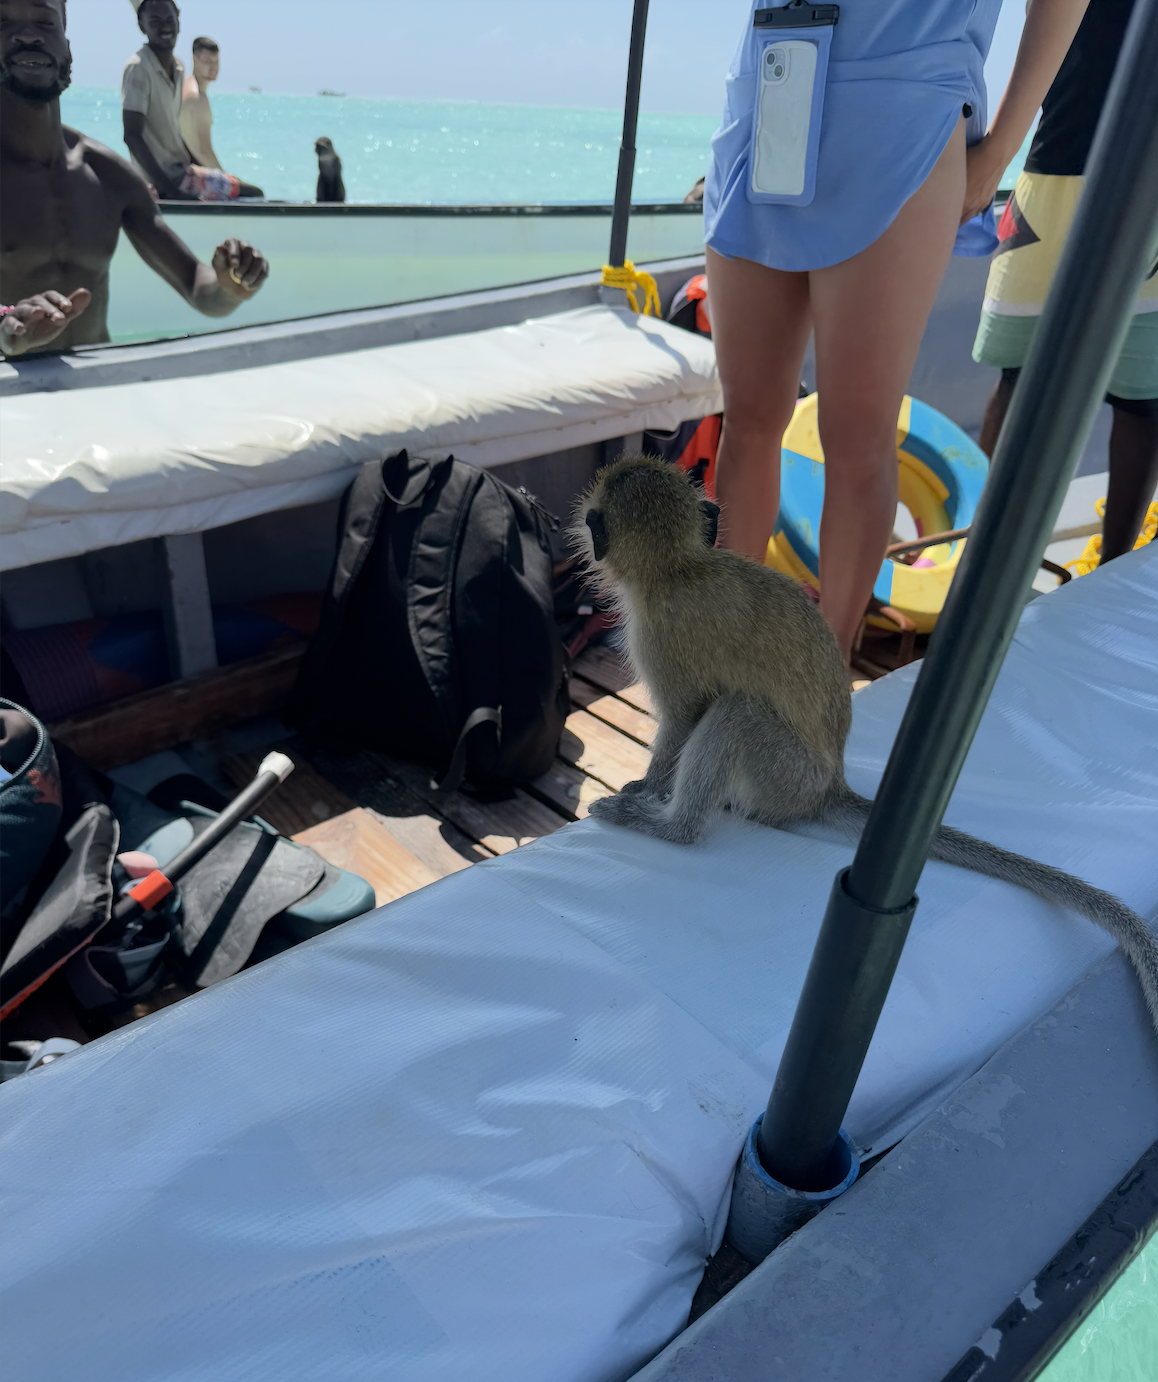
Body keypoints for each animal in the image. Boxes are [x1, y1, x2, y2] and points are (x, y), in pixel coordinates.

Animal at [572, 455, 1158, 1031]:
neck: (680, 568)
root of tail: (828, 786)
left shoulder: (659, 635)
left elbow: (683, 718)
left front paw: (644, 790)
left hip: (783, 775)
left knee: (736, 713)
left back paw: (674, 828)